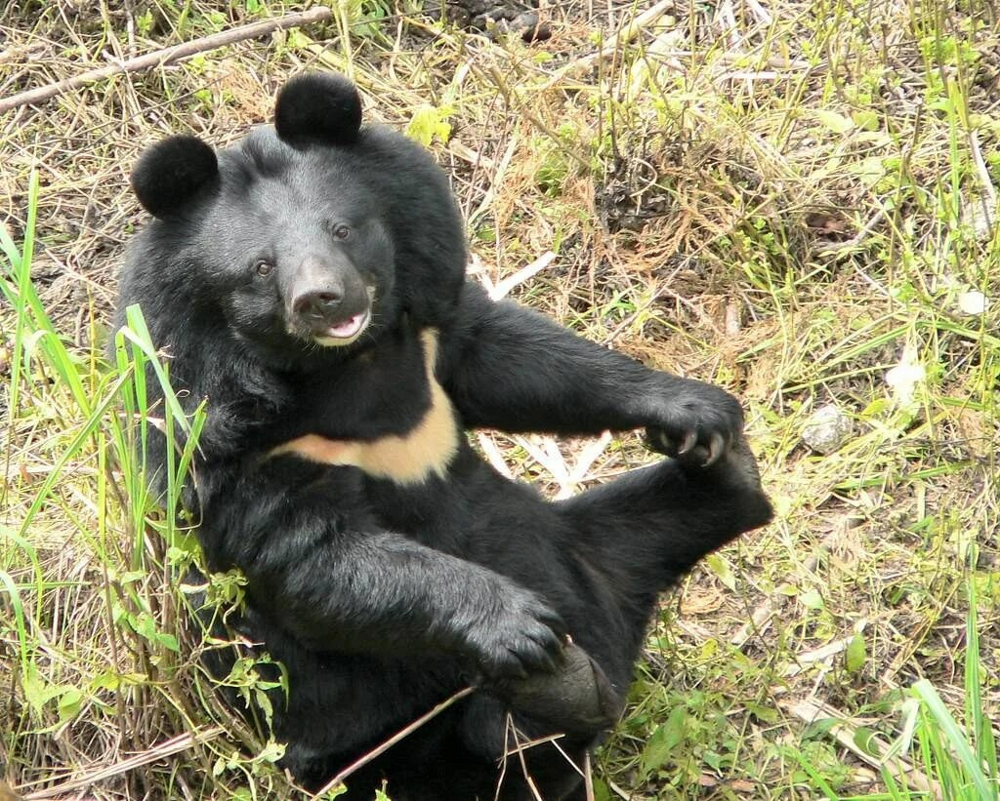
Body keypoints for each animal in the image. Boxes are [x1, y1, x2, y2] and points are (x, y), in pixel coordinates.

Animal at [117, 72, 772, 796]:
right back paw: (562, 688)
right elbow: (320, 556)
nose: (322, 298)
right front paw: (520, 626)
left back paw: (726, 472)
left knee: (662, 525)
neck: (347, 367)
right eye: (262, 268)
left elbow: (511, 359)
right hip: (376, 735)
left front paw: (693, 410)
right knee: (480, 736)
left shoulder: (430, 329)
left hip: (590, 551)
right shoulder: (228, 438)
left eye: (343, 229)